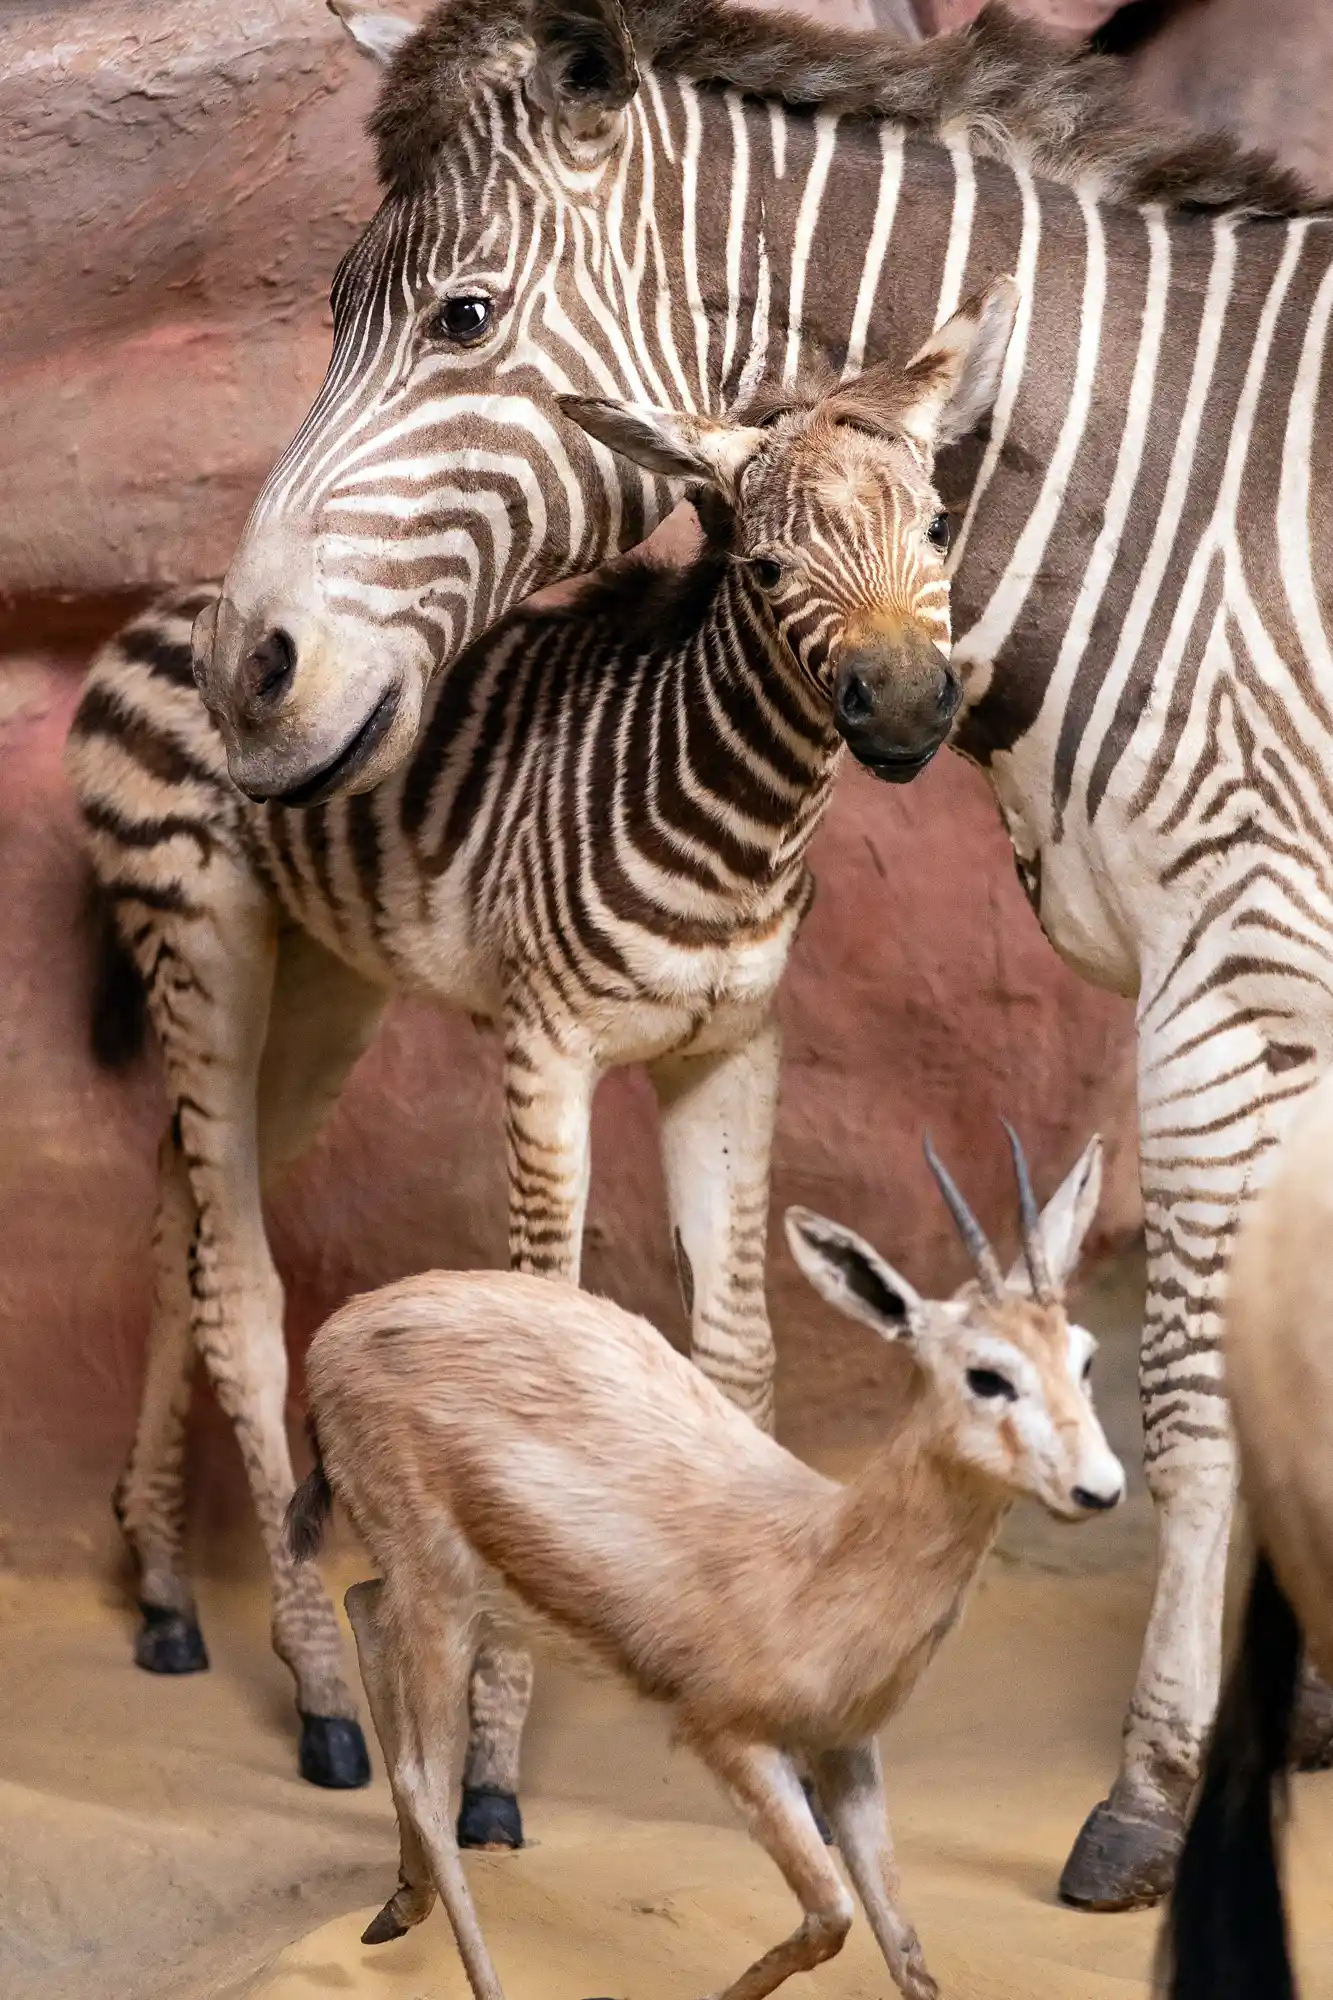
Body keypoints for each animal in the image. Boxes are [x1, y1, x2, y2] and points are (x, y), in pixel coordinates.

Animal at [66, 295, 1013, 1835]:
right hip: (197, 938)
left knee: (180, 1210)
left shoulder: (732, 1054)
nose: (902, 710)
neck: (740, 820)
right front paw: (491, 1769)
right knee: (238, 1286)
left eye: (937, 527)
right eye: (762, 564)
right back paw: (319, 1690)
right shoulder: (545, 1046)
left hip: (320, 987)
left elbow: (738, 1348)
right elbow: (543, 1335)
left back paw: (159, 1589)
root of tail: (162, 617)